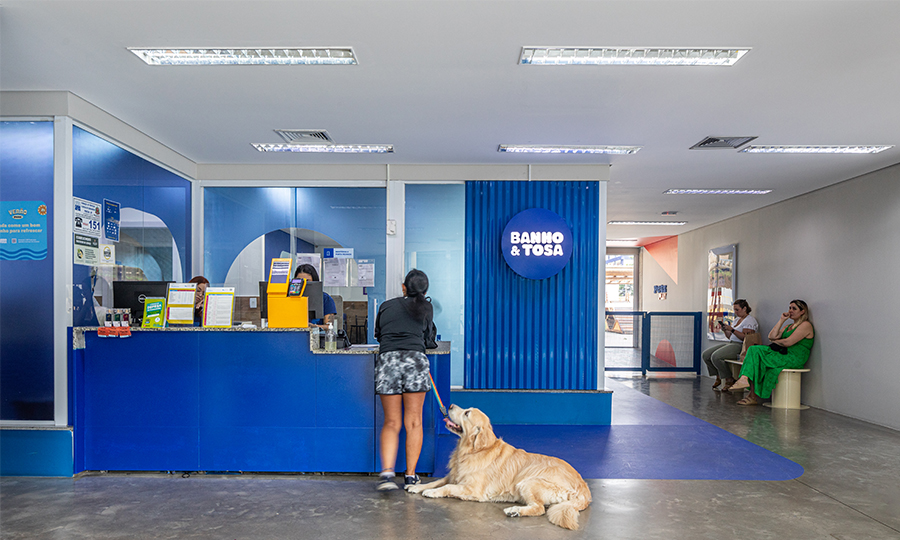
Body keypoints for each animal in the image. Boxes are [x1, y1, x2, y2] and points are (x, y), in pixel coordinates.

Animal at [406, 404, 592, 528]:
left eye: (467, 413)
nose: (450, 405)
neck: (472, 450)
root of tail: (585, 490)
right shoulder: (453, 475)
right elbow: (436, 481)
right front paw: (416, 486)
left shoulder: (472, 489)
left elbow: (447, 487)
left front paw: (431, 492)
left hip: (528, 482)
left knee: (539, 508)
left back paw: (515, 510)